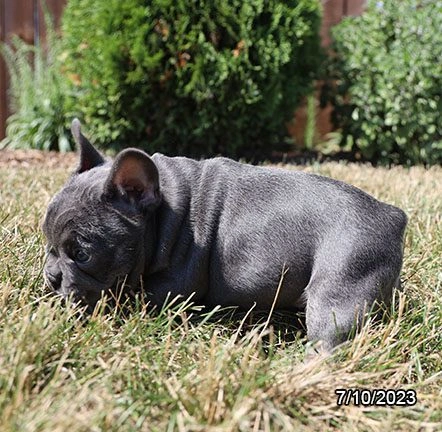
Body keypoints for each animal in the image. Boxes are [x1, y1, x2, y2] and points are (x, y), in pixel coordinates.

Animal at [42, 119, 407, 352]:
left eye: (82, 254)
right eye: (48, 243)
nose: (52, 276)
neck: (167, 212)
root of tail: (393, 216)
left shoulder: (172, 286)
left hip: (339, 289)